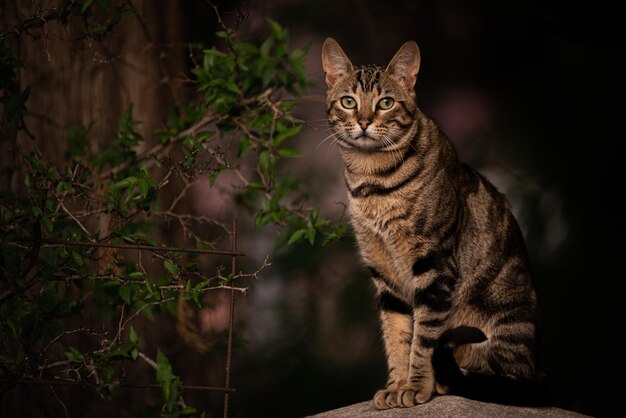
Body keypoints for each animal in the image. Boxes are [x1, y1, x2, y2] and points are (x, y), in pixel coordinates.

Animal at [320, 37, 544, 410]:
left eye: (385, 103)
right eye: (349, 102)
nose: (364, 121)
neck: (372, 181)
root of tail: (535, 372)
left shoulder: (434, 265)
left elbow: (423, 339)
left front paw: (416, 386)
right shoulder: (385, 276)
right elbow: (397, 337)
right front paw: (396, 384)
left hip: (501, 320)